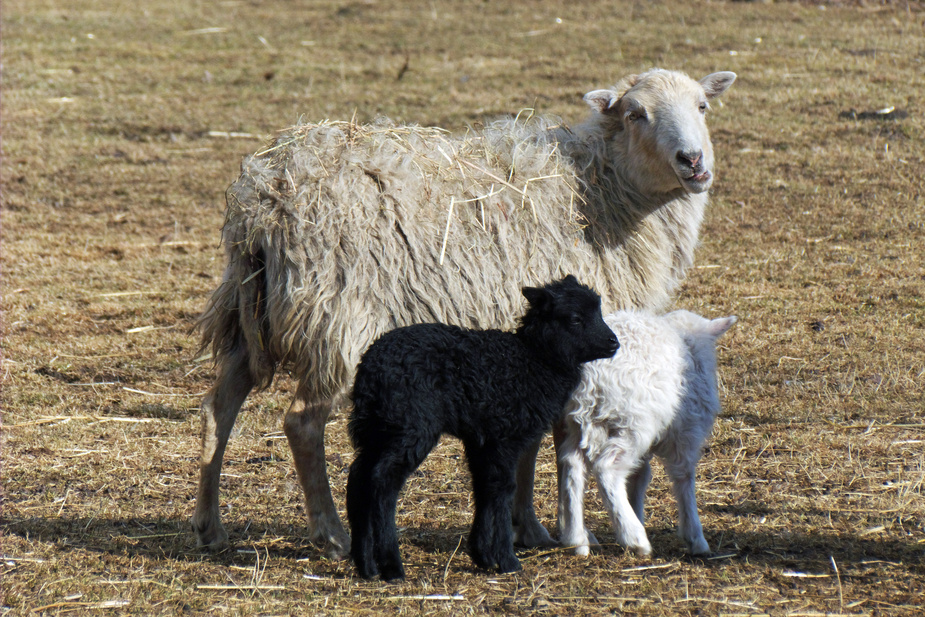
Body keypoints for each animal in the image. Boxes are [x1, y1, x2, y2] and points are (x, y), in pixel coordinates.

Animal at [346, 276, 620, 580]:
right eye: (574, 318)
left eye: (598, 311)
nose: (613, 342)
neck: (534, 362)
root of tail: (370, 369)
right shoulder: (505, 436)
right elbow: (504, 488)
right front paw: (508, 561)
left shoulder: (481, 439)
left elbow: (484, 487)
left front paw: (482, 555)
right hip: (411, 425)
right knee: (383, 481)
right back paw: (392, 566)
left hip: (378, 428)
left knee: (358, 477)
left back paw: (366, 566)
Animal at [556, 310, 736, 556]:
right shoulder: (687, 432)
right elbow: (684, 477)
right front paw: (695, 538)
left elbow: (639, 478)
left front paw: (638, 513)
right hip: (633, 423)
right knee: (607, 469)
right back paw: (634, 537)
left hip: (580, 422)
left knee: (572, 466)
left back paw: (578, 540)